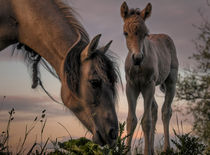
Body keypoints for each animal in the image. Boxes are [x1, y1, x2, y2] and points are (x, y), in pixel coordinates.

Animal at [120, 1, 178, 154]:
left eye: (145, 34)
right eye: (125, 33)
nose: (137, 58)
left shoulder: (148, 85)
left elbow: (146, 121)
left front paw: (146, 152)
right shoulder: (131, 86)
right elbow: (131, 120)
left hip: (170, 82)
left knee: (165, 111)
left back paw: (166, 149)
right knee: (155, 109)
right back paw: (152, 149)